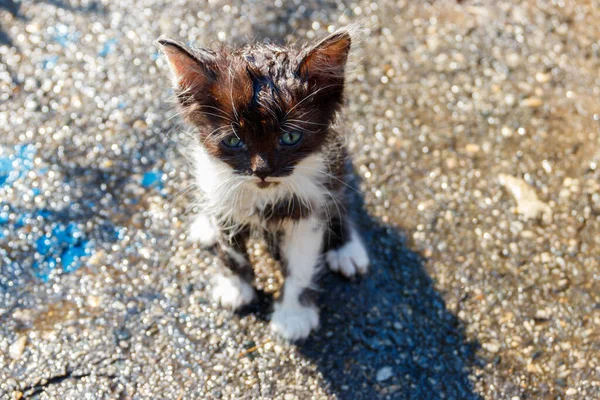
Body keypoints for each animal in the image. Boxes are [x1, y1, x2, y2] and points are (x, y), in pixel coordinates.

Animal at [157, 28, 368, 340]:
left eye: (290, 137)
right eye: (234, 140)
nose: (262, 170)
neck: (263, 195)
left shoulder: (309, 205)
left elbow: (301, 264)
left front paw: (293, 315)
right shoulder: (225, 198)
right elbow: (232, 250)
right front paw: (235, 288)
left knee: (340, 200)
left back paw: (347, 249)